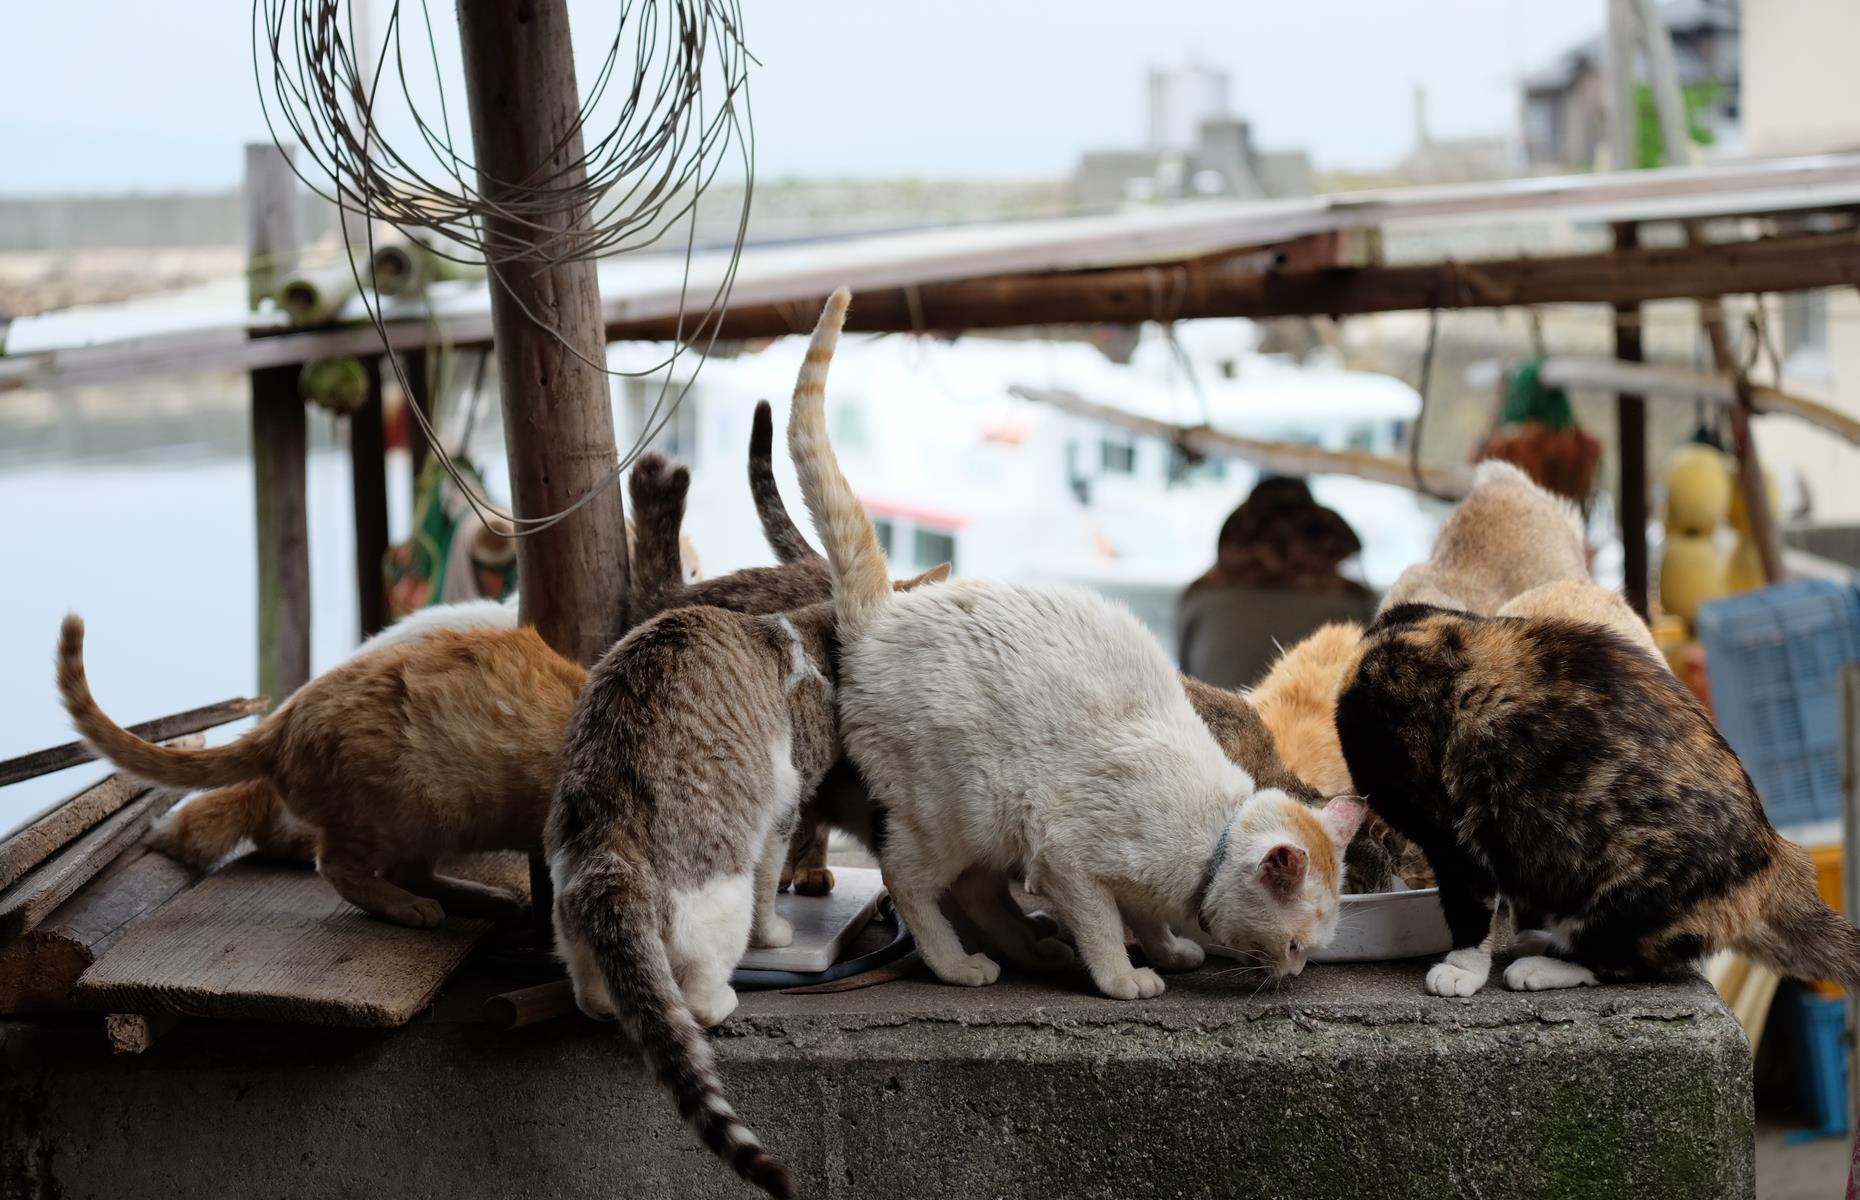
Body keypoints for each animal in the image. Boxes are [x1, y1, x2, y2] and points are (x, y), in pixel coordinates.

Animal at [1339, 602, 1860, 997]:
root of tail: (1777, 852)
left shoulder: (1449, 831)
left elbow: (1469, 903)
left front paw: (1463, 969)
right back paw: (1539, 940)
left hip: (1625, 893)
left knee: (1624, 964)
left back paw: (1545, 966)